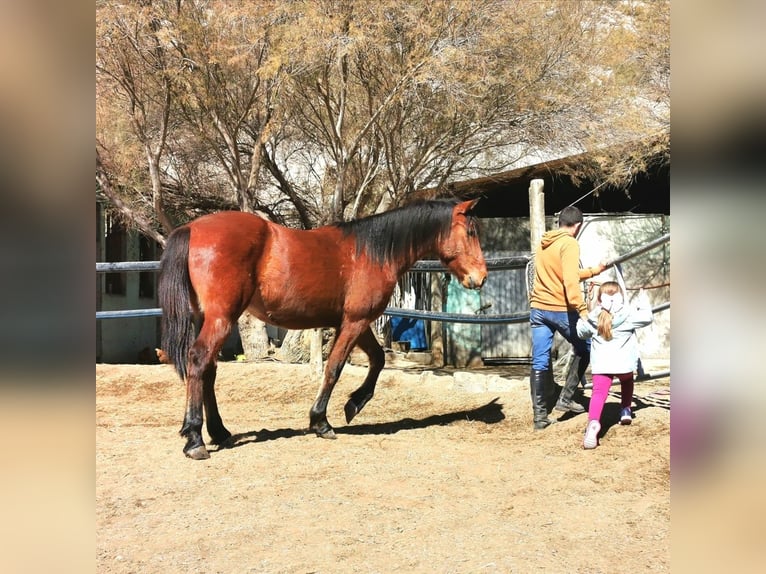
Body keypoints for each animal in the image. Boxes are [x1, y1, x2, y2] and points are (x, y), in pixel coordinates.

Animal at [159, 200, 488, 462]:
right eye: (471, 232)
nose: (481, 277)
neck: (370, 252)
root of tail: (192, 228)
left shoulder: (356, 323)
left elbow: (378, 359)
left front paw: (354, 404)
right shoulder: (355, 321)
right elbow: (334, 368)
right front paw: (321, 421)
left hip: (210, 318)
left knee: (209, 370)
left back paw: (218, 431)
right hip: (222, 318)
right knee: (199, 361)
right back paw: (195, 439)